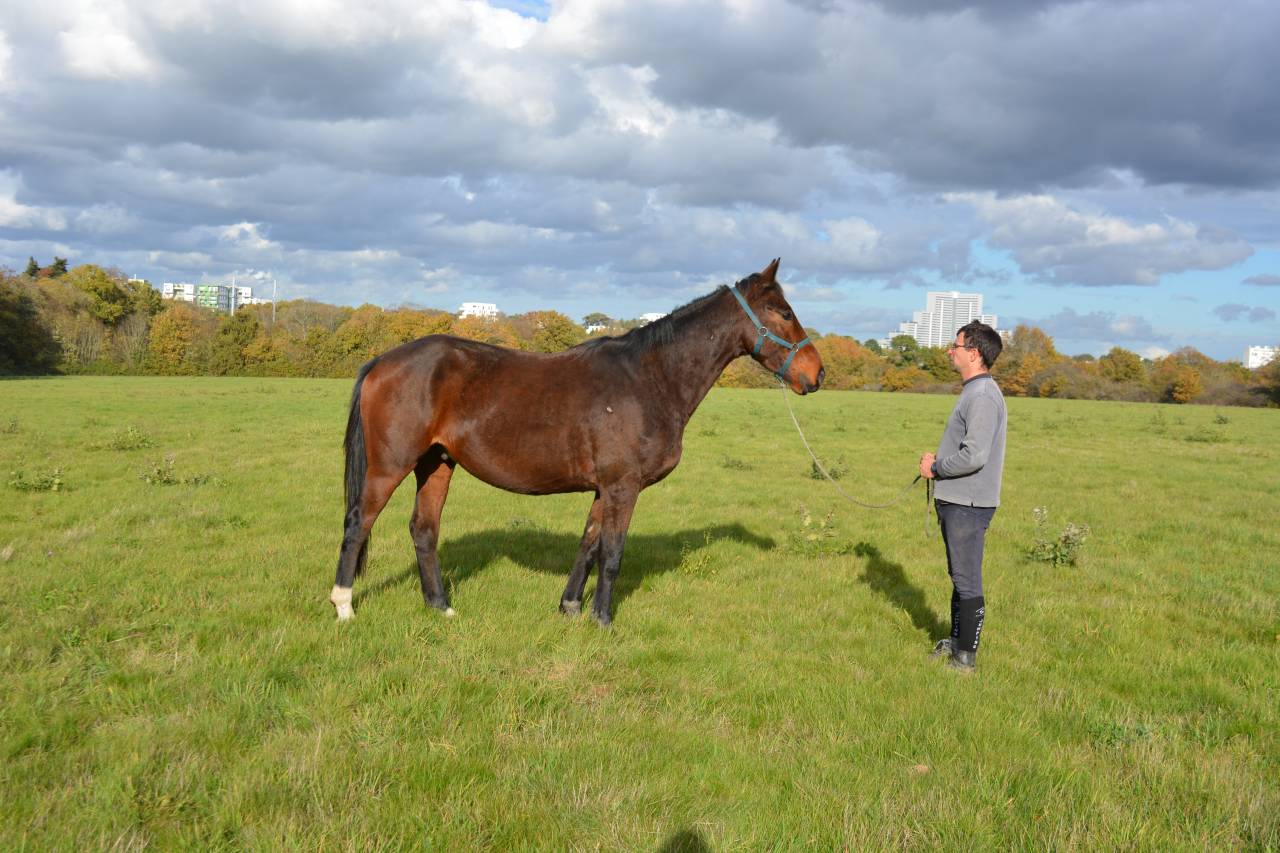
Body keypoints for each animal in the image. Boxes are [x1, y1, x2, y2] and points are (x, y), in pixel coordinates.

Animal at [330, 259, 825, 626]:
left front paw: (569, 608)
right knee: (357, 523)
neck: (649, 378)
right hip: (390, 467)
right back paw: (344, 606)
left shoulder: (605, 488)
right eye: (784, 312)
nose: (816, 373)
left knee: (424, 529)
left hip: (436, 462)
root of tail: (382, 361)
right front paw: (603, 620)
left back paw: (440, 607)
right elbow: (612, 553)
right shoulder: (623, 487)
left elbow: (588, 545)